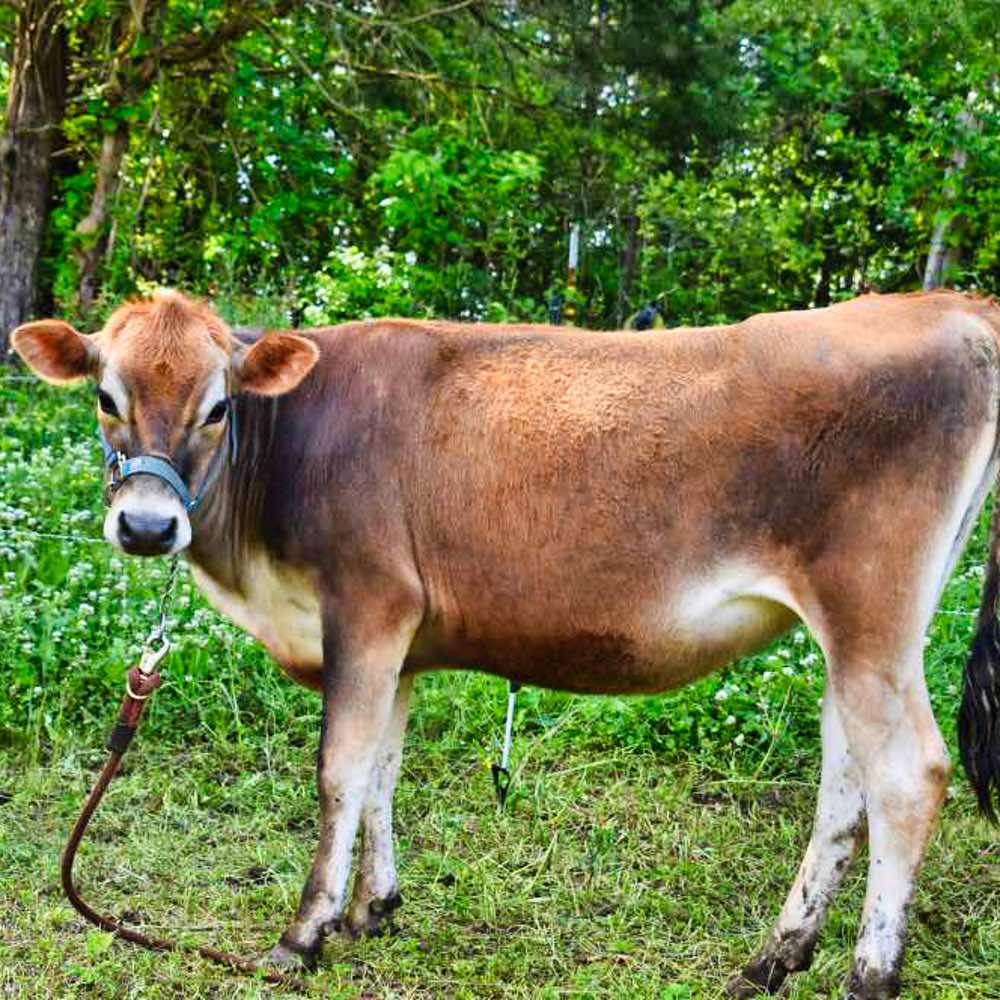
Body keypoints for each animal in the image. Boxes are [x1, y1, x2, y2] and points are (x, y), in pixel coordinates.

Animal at [11, 288, 1000, 999]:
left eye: (219, 407)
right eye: (105, 396)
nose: (147, 526)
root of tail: (948, 303)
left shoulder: (366, 607)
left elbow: (338, 772)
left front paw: (304, 935)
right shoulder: (400, 638)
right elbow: (383, 771)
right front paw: (374, 909)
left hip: (870, 614)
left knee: (908, 775)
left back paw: (869, 975)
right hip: (855, 635)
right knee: (844, 777)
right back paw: (774, 957)